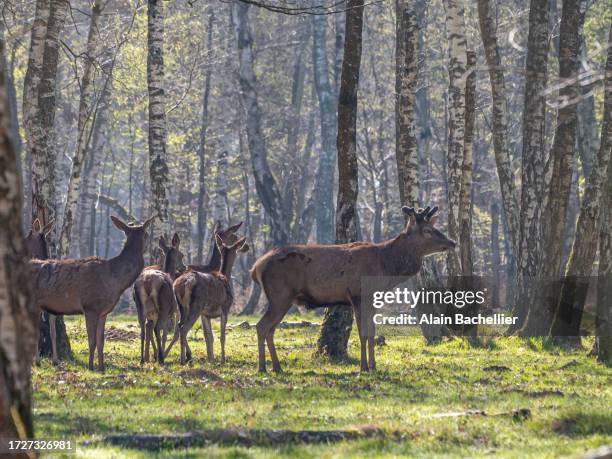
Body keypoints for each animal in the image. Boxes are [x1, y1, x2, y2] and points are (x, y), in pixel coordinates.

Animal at [29, 217, 154, 372]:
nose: (148, 247)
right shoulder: (90, 307)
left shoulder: (104, 312)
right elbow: (92, 341)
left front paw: (102, 367)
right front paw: (91, 366)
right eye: (146, 233)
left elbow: (101, 341)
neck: (115, 279)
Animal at [136, 234, 186, 366]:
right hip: (164, 305)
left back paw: (142, 359)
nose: (184, 267)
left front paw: (152, 355)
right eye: (181, 255)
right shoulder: (171, 311)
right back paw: (161, 358)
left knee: (143, 329)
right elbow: (165, 334)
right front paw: (159, 354)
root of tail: (148, 280)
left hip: (139, 306)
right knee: (157, 328)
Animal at [249, 207, 454, 372]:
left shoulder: (372, 299)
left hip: (282, 298)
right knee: (262, 326)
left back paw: (276, 367)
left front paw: (373, 366)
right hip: (280, 295)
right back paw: (262, 368)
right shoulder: (358, 295)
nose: (452, 242)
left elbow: (372, 332)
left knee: (270, 329)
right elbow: (363, 333)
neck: (386, 268)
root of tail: (255, 267)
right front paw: (363, 367)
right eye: (427, 230)